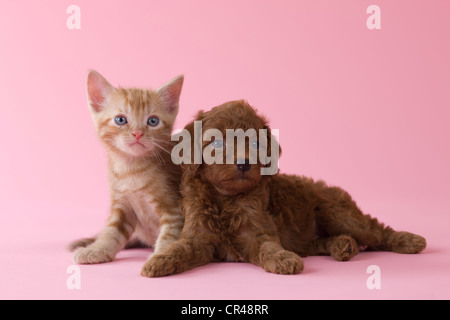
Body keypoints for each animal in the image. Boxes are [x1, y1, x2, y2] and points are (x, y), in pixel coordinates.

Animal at [69, 70, 185, 276]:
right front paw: (97, 249)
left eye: (153, 121)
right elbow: (111, 232)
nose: (137, 133)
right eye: (120, 120)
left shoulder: (173, 210)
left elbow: (170, 236)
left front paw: (161, 257)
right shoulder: (122, 207)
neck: (131, 170)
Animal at [142, 100, 426, 278]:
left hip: (337, 213)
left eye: (256, 143)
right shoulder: (197, 237)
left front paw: (283, 260)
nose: (244, 164)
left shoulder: (256, 232)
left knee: (376, 231)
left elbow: (269, 247)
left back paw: (410, 240)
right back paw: (343, 246)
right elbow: (179, 248)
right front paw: (157, 262)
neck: (225, 199)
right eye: (218, 143)